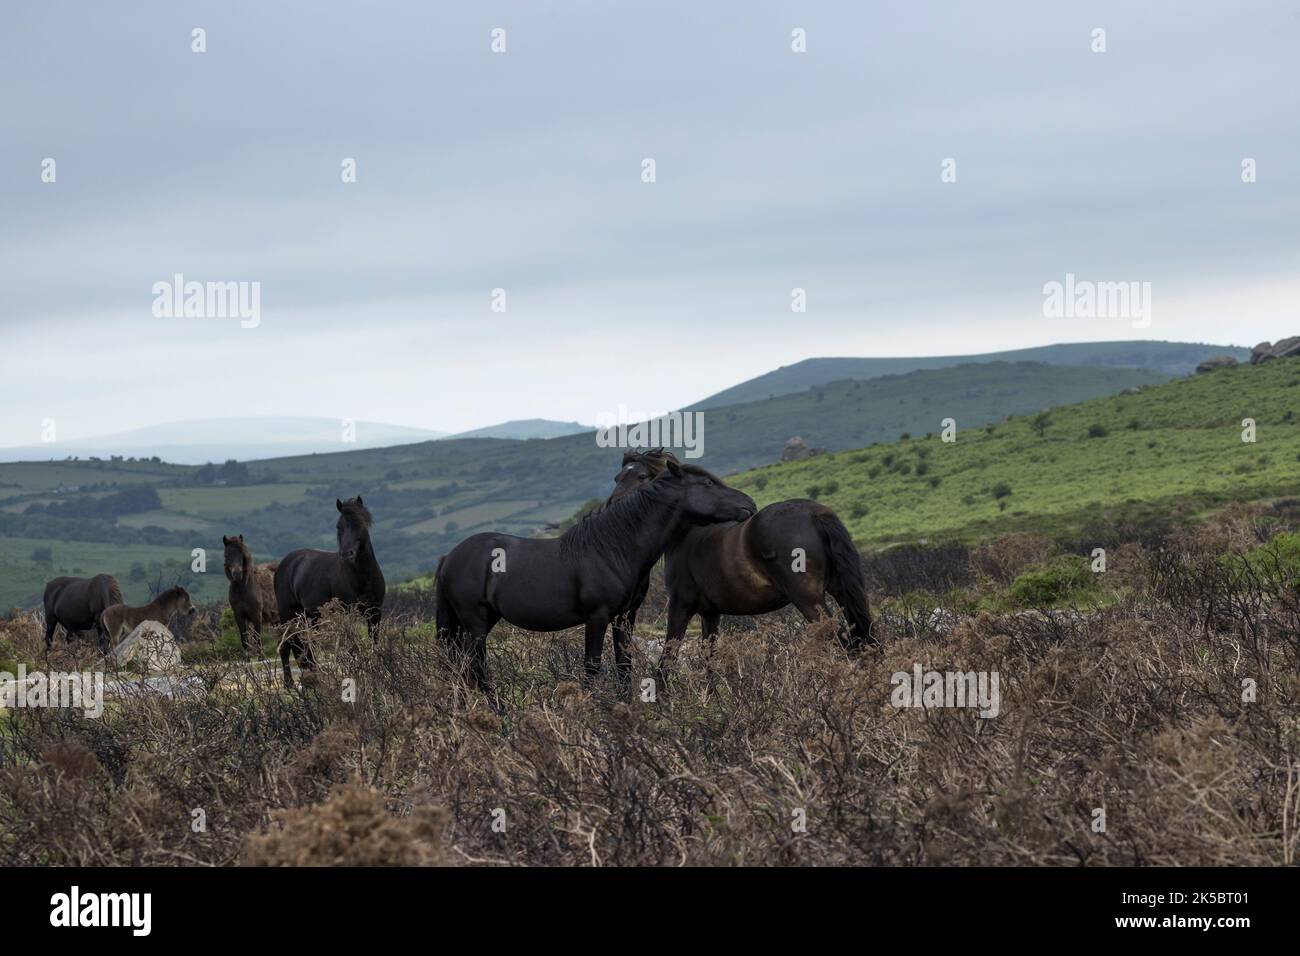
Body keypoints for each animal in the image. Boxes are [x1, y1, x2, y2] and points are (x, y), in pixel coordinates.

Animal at [274, 496, 386, 689]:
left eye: (360, 524)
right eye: (338, 526)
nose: (347, 554)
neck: (362, 577)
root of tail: (286, 563)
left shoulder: (374, 613)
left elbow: (375, 643)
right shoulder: (347, 615)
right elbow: (352, 648)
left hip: (309, 617)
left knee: (305, 648)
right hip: (288, 615)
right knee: (287, 646)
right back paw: (290, 685)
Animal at [436, 459, 756, 697]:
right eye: (707, 484)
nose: (750, 504)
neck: (614, 548)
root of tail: (449, 557)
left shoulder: (625, 617)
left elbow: (623, 664)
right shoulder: (597, 616)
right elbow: (593, 665)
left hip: (477, 622)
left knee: (461, 668)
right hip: (475, 622)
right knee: (476, 668)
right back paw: (500, 715)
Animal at [609, 449, 875, 687]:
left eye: (641, 476)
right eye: (617, 477)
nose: (614, 505)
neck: (688, 533)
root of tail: (815, 514)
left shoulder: (680, 606)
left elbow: (668, 658)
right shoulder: (710, 613)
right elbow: (709, 658)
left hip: (809, 600)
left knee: (843, 641)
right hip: (840, 592)